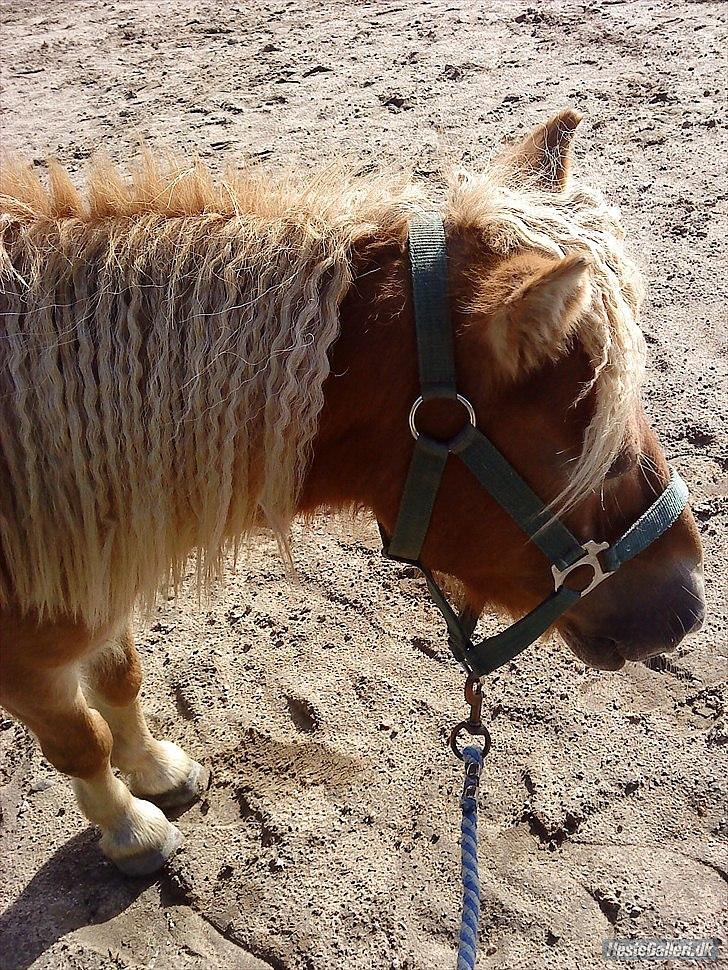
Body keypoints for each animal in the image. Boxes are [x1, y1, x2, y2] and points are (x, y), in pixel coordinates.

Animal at [1, 109, 704, 872]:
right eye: (597, 458)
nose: (689, 606)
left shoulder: (98, 595)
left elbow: (120, 679)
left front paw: (158, 770)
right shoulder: (28, 667)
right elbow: (81, 742)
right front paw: (131, 828)